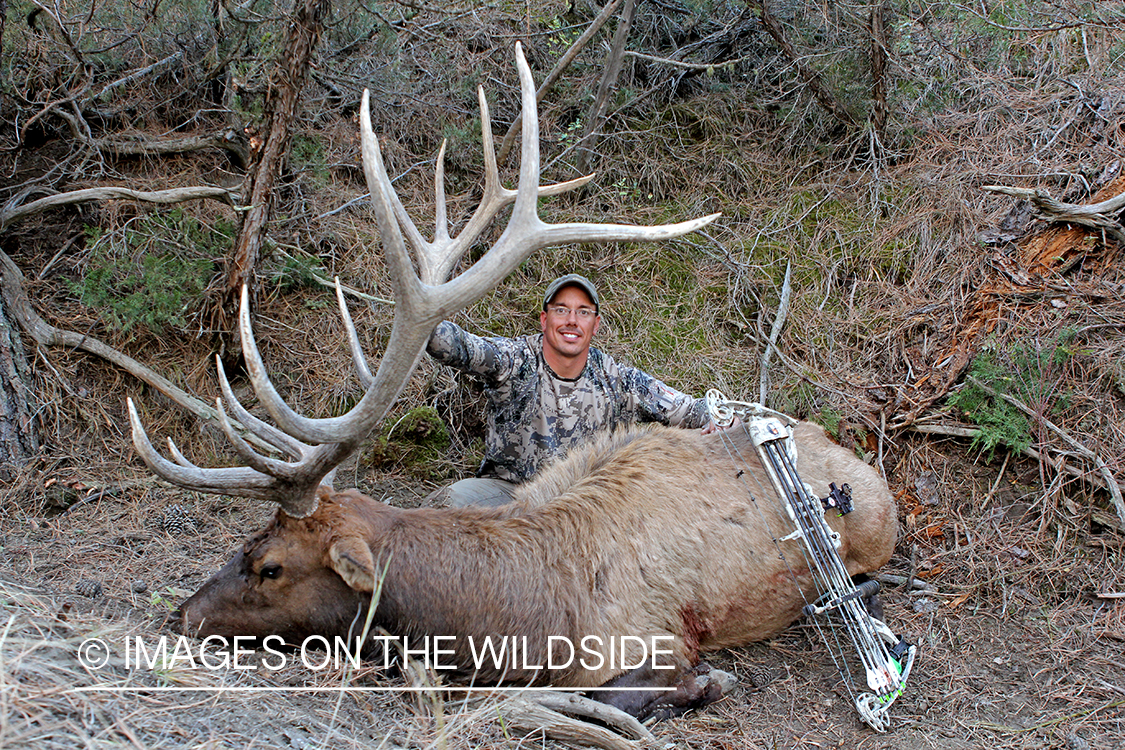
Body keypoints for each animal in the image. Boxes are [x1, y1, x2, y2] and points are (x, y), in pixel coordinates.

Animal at [127, 44, 899, 724]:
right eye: (246, 544)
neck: (527, 616)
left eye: (270, 567)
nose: (182, 614)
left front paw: (709, 686)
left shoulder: (652, 640)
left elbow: (627, 692)